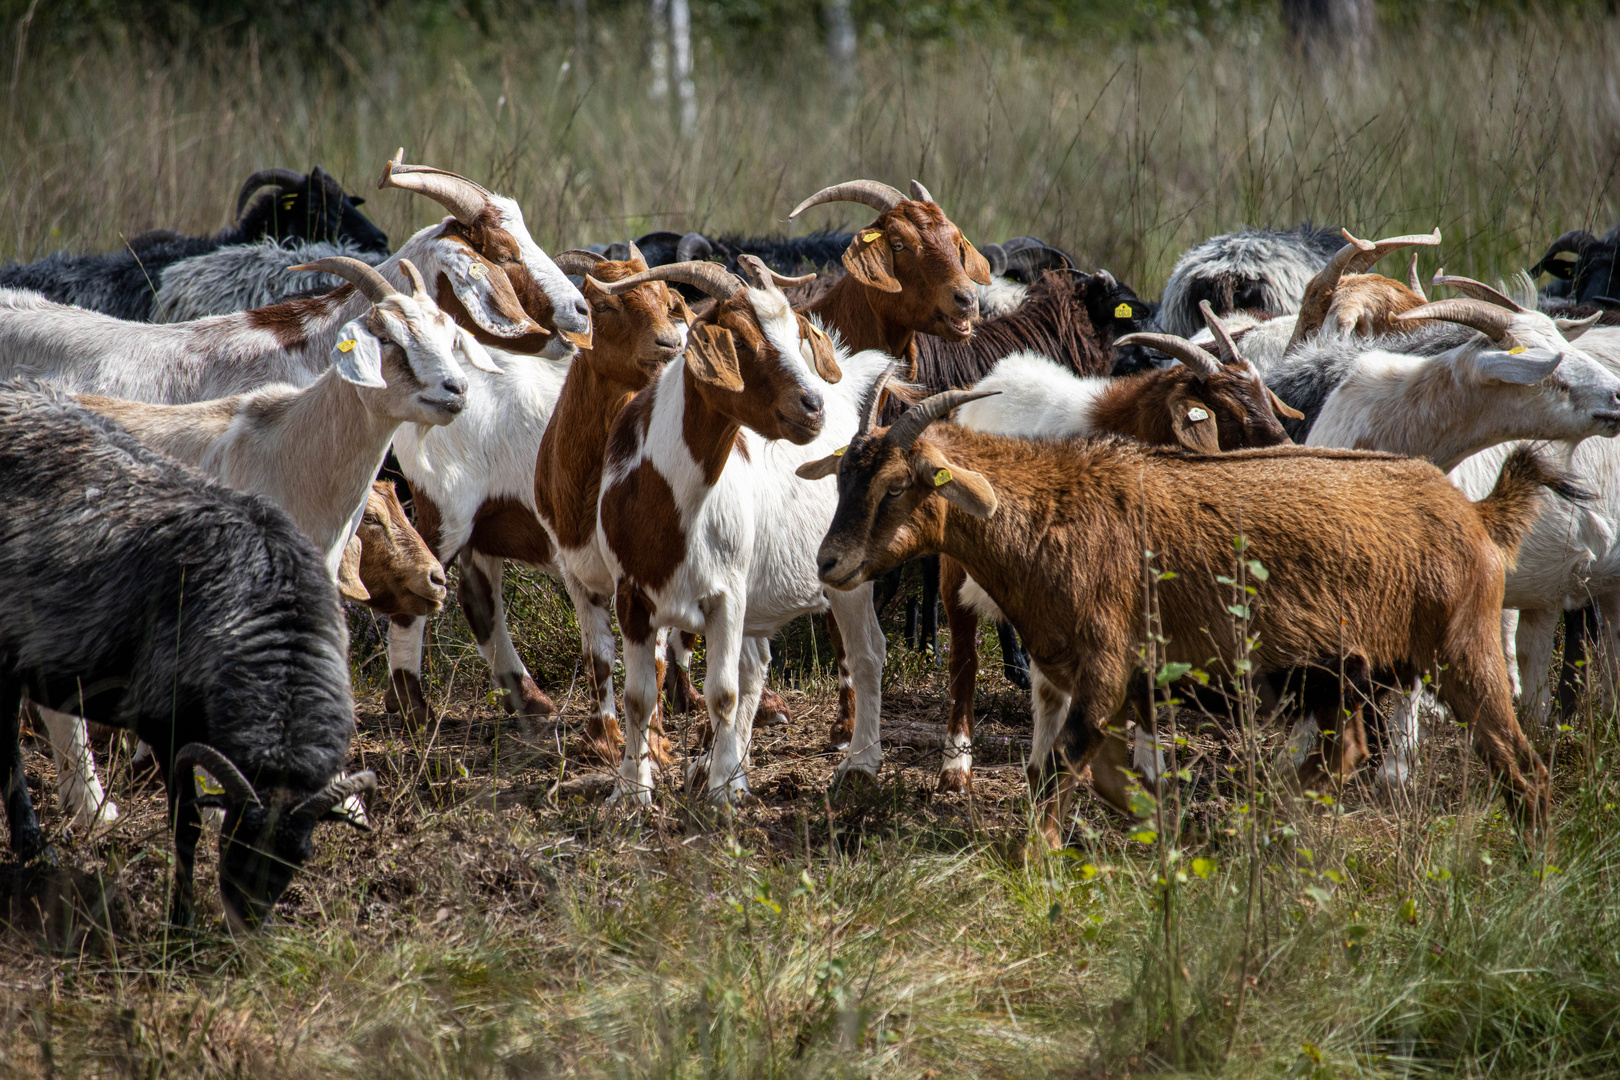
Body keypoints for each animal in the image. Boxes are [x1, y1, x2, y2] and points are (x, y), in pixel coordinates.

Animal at [0, 380, 370, 932]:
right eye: (238, 837)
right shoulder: (166, 726)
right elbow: (185, 828)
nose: (248, 925)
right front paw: (180, 922)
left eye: (299, 856)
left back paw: (33, 850)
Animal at [596, 257, 894, 806]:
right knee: (756, 668)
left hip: (848, 571)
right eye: (739, 339)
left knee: (867, 655)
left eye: (798, 335)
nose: (812, 406)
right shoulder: (631, 596)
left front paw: (719, 796)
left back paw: (860, 765)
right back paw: (734, 768)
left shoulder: (726, 595)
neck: (668, 501)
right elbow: (638, 697)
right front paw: (631, 791)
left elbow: (722, 692)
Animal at [803, 388, 1574, 841]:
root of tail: (1473, 513)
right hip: (1340, 675)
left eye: (898, 485)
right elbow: (1109, 779)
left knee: (1524, 770)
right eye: (842, 479)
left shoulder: (1105, 670)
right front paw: (1165, 831)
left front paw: (1034, 858)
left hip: (1463, 653)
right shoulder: (1112, 687)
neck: (1057, 512)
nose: (830, 564)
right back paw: (1271, 819)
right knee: (1347, 750)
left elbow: (1059, 767)